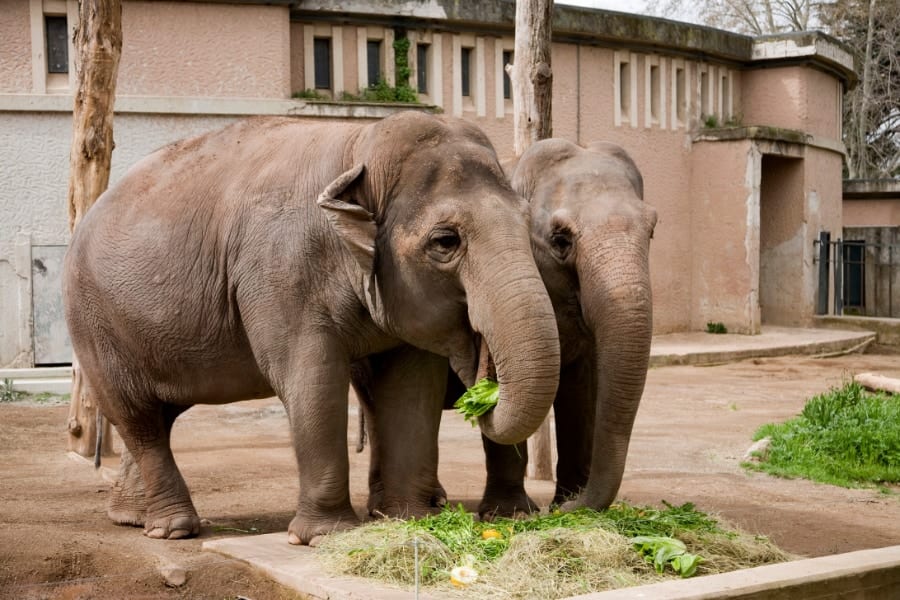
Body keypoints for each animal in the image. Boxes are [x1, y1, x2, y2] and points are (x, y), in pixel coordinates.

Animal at [63, 110, 560, 548]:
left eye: (526, 225)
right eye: (445, 242)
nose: (482, 383)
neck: (359, 146)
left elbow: (411, 387)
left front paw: (410, 521)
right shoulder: (279, 275)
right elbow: (312, 378)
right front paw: (324, 536)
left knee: (156, 416)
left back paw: (132, 518)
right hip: (93, 324)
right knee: (136, 416)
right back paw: (174, 529)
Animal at [356, 136, 656, 516]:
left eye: (652, 230)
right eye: (561, 240)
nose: (565, 508)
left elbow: (582, 391)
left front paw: (566, 503)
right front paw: (513, 513)